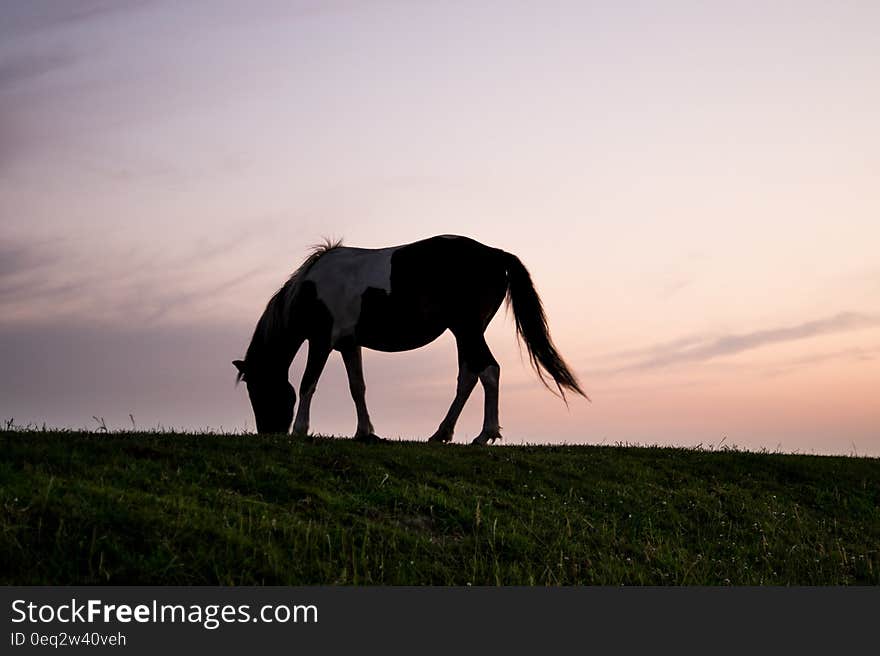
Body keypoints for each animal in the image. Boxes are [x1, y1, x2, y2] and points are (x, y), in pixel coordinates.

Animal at [232, 233, 584, 444]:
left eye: (257, 390)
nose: (269, 432)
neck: (311, 288)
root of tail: (496, 254)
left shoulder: (322, 341)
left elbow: (308, 383)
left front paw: (300, 430)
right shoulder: (348, 344)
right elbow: (357, 387)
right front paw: (365, 432)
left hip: (468, 329)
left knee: (488, 371)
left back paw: (485, 435)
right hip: (464, 332)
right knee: (469, 375)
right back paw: (442, 433)